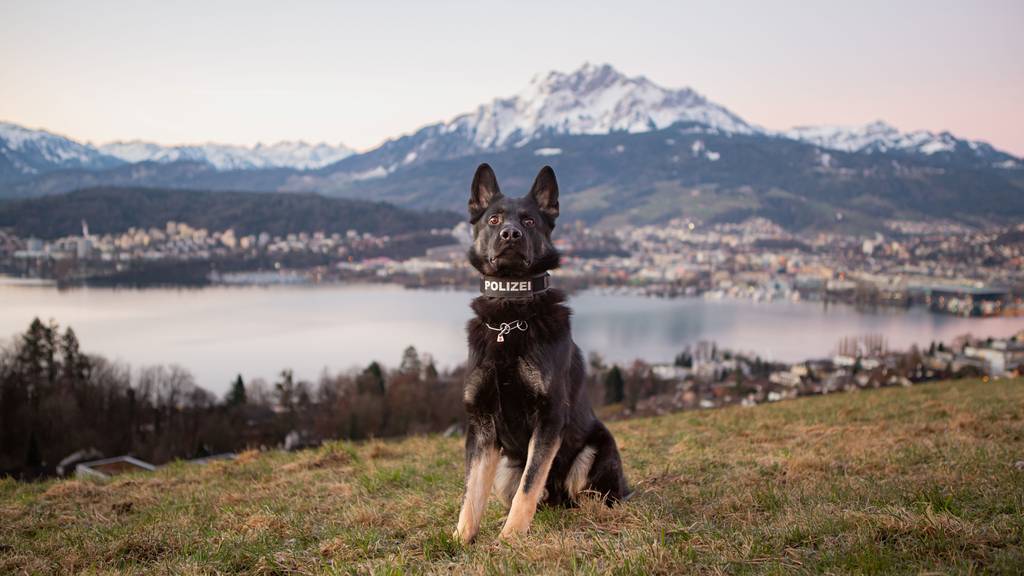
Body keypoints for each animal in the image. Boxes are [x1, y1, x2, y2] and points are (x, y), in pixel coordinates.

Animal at [452, 163, 626, 541]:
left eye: (529, 220)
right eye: (493, 219)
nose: (510, 234)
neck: (510, 315)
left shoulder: (548, 419)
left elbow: (529, 486)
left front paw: (510, 538)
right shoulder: (482, 426)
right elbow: (472, 491)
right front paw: (460, 538)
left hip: (596, 449)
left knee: (587, 498)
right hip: (507, 466)